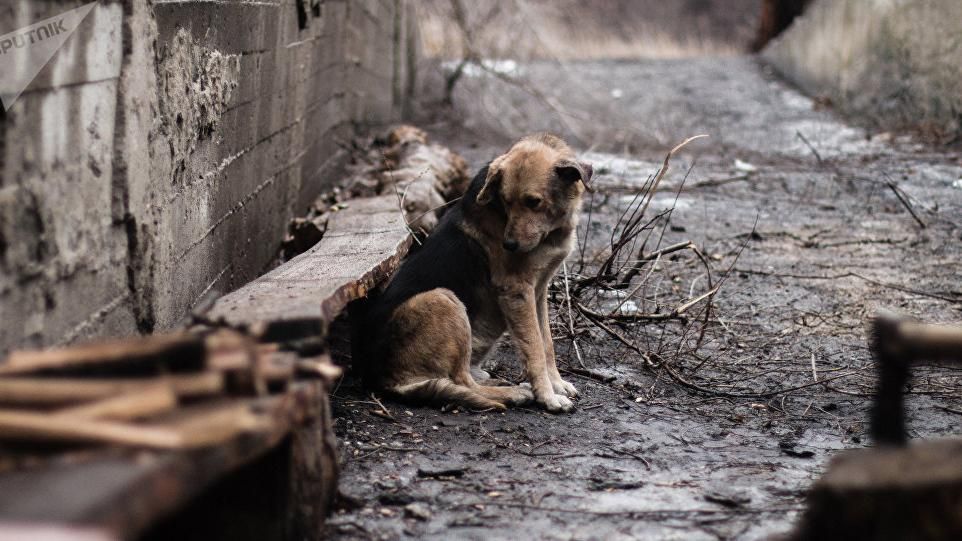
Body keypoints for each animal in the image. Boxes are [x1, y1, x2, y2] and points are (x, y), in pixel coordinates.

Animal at [356, 133, 588, 412]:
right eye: (506, 201)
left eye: (533, 202)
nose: (509, 245)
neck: (553, 229)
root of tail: (382, 379)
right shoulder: (517, 290)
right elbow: (534, 349)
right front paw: (547, 396)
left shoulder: (539, 291)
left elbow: (546, 344)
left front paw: (556, 384)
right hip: (442, 298)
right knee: (462, 381)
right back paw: (511, 393)